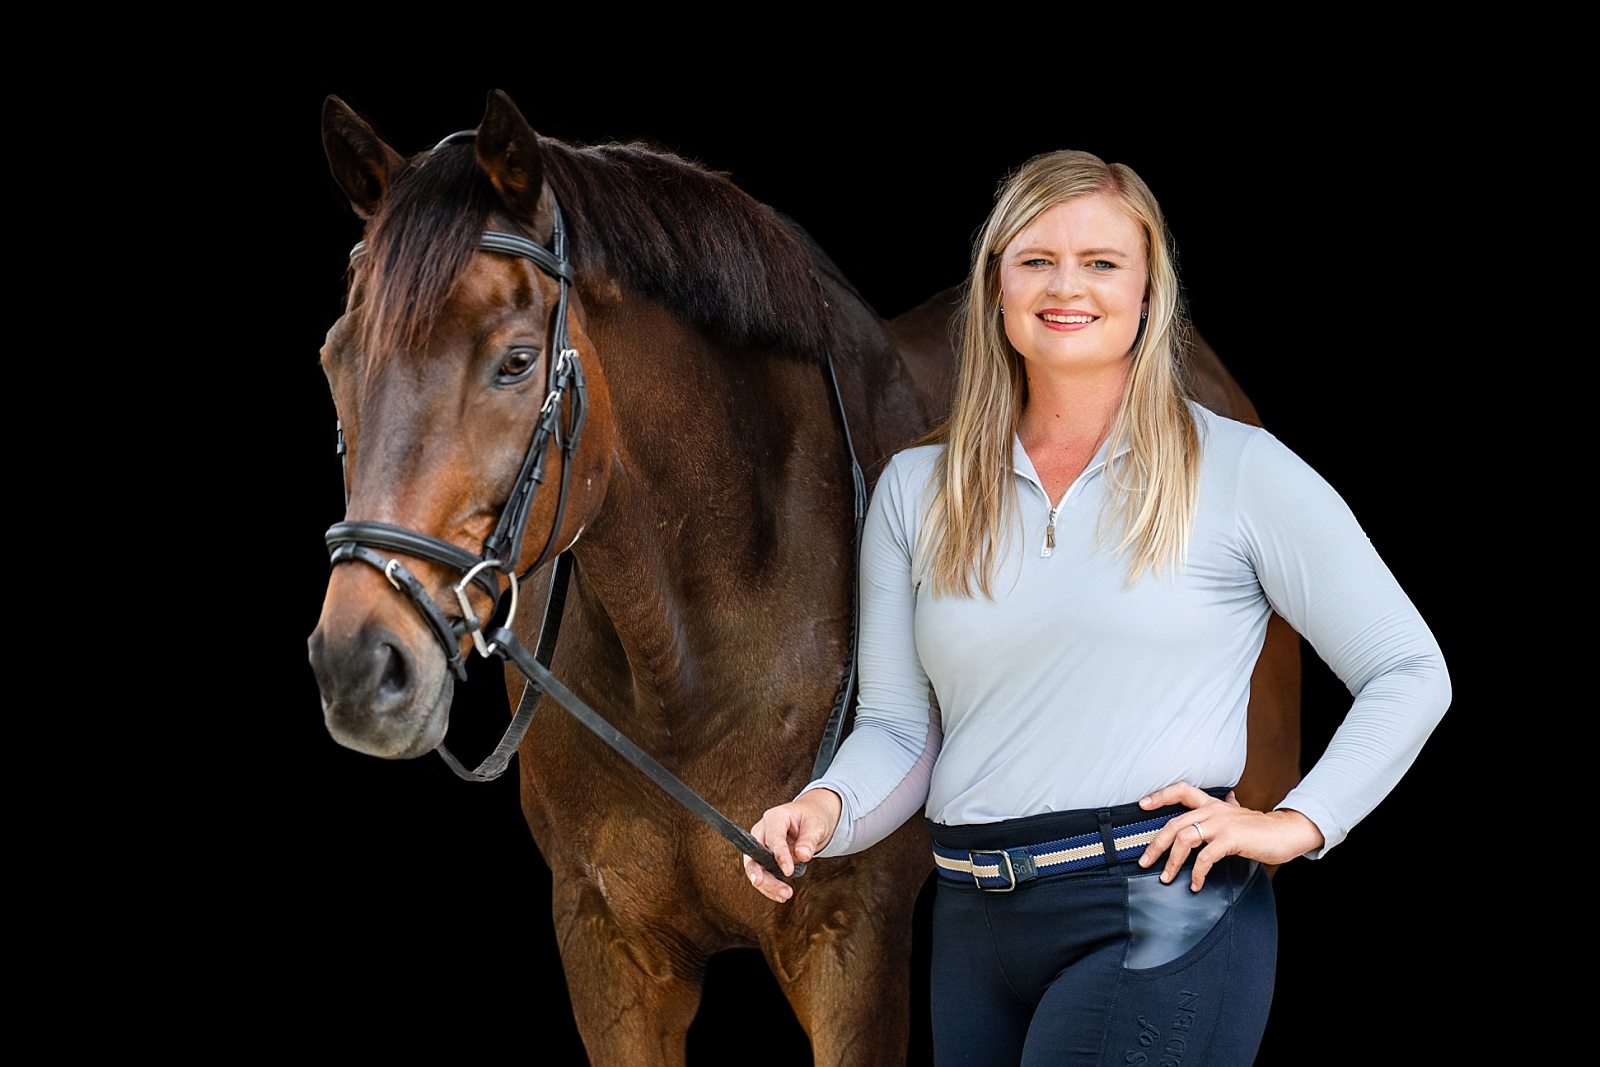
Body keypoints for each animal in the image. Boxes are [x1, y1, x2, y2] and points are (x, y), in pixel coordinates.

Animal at [308, 87, 1299, 1062]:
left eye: (516, 362)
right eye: (334, 359)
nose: (358, 664)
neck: (690, 667)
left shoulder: (848, 943)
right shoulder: (607, 947)